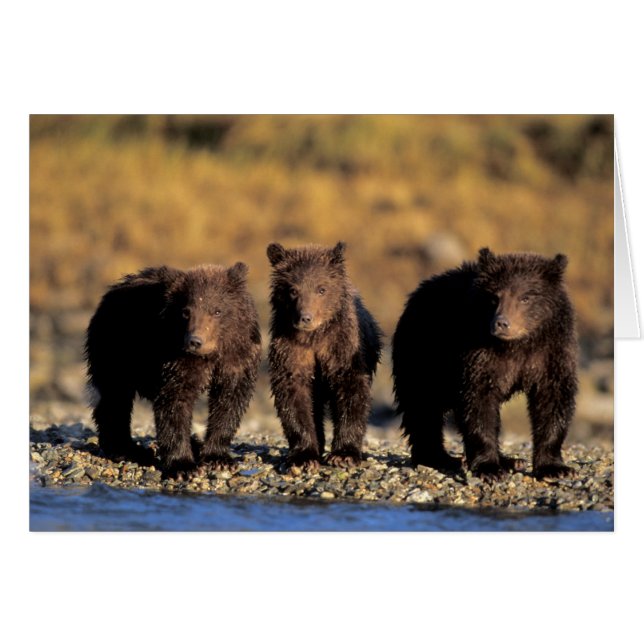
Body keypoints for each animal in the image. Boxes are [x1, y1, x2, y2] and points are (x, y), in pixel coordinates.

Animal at [85, 263, 262, 479]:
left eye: (217, 311)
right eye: (185, 312)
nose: (195, 341)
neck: (211, 356)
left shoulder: (237, 358)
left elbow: (229, 401)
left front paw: (219, 459)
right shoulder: (175, 360)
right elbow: (174, 404)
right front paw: (183, 466)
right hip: (116, 348)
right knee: (114, 397)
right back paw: (127, 449)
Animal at [267, 241, 383, 470]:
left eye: (321, 288)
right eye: (293, 290)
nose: (305, 317)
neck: (314, 338)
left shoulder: (342, 347)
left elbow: (351, 390)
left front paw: (344, 454)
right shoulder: (291, 351)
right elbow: (294, 396)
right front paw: (304, 456)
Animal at [391, 247, 578, 480]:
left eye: (525, 297)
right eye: (494, 298)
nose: (501, 323)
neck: (518, 345)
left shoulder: (550, 354)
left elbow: (552, 399)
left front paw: (555, 468)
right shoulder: (479, 355)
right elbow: (478, 403)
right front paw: (489, 468)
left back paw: (510, 460)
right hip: (423, 354)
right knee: (422, 406)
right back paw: (439, 457)